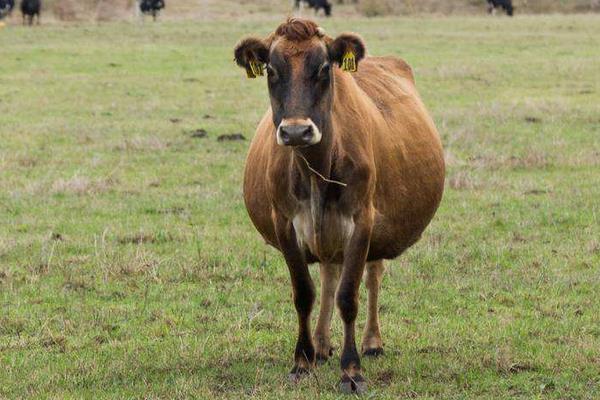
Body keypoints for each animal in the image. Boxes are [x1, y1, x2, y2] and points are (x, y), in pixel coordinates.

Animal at [234, 19, 446, 394]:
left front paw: (351, 370)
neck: (315, 168)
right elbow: (304, 293)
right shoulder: (285, 223)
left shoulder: (361, 222)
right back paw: (320, 345)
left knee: (372, 275)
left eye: (323, 69)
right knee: (329, 274)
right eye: (271, 70)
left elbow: (349, 296)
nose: (296, 132)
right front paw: (302, 362)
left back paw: (372, 342)